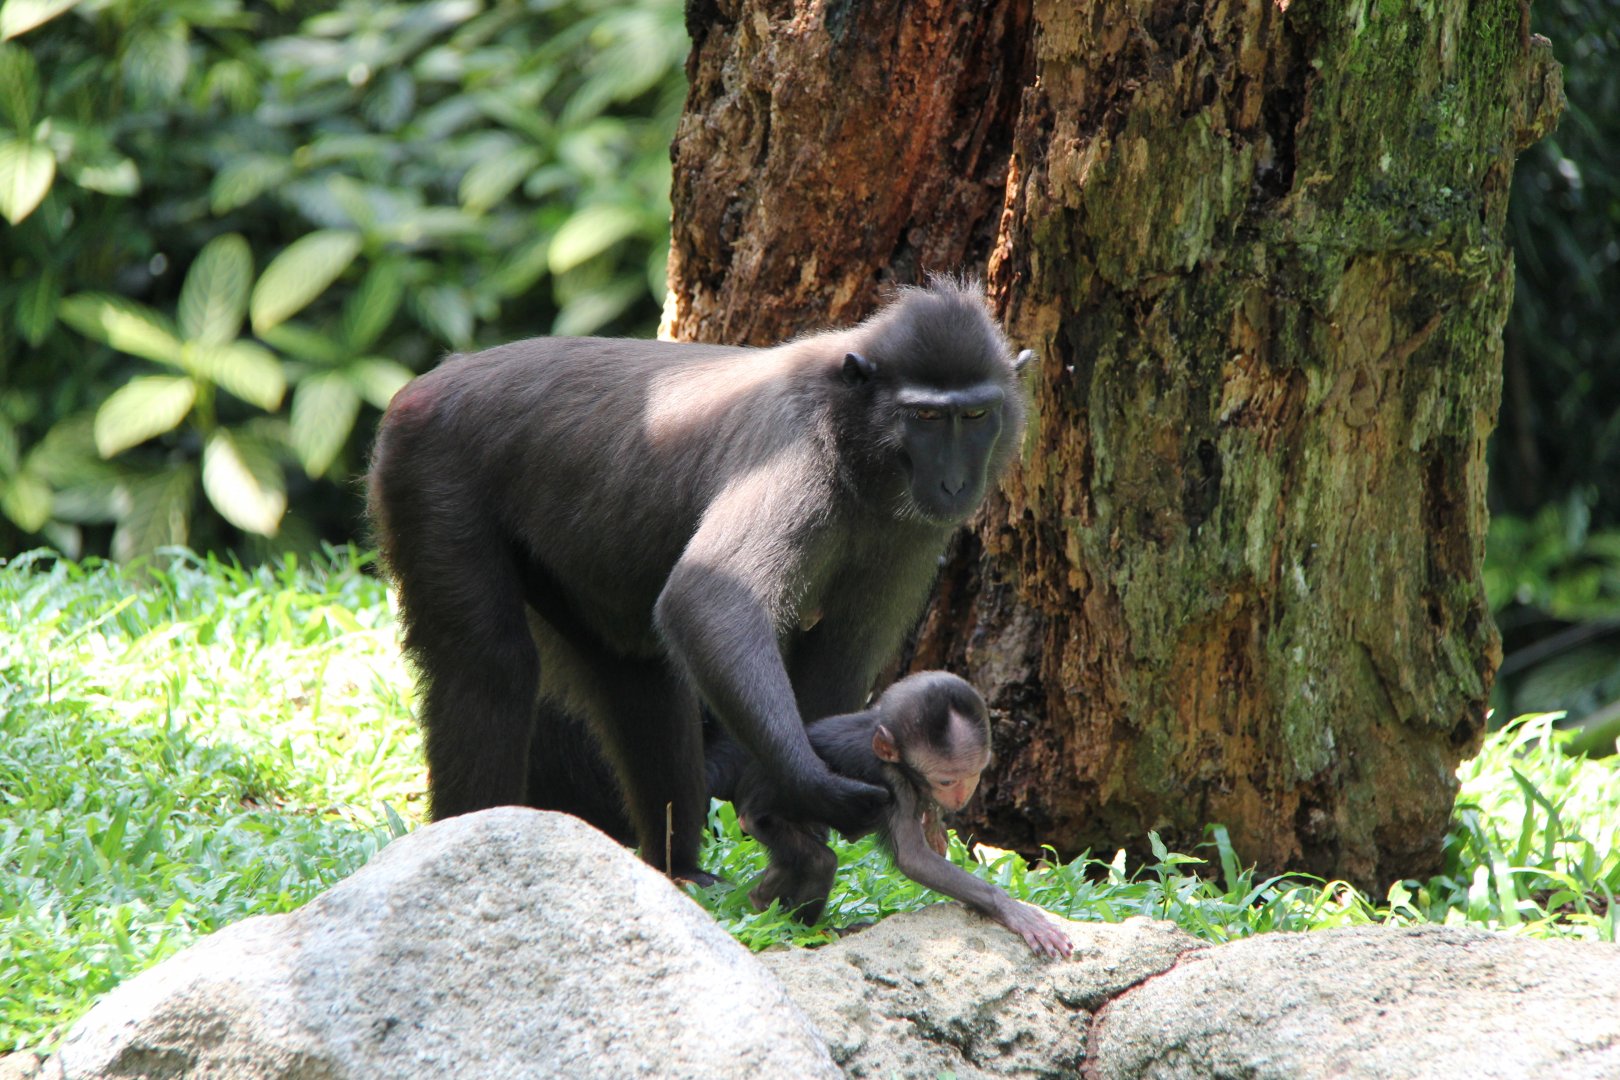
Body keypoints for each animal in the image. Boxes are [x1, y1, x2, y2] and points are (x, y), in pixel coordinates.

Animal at [367, 278, 1030, 882]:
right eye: (926, 417)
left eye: (974, 416)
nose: (953, 484)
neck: (852, 434)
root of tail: (433, 381)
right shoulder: (794, 452)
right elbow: (706, 600)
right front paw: (814, 786)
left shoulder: (911, 532)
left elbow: (840, 655)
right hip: (430, 472)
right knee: (492, 666)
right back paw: (472, 832)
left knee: (636, 676)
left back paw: (678, 866)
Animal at [708, 671, 1073, 958]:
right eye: (947, 780)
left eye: (973, 775)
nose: (959, 795)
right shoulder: (894, 784)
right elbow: (913, 859)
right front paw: (1010, 908)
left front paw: (935, 824)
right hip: (761, 816)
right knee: (818, 860)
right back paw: (800, 925)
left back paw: (761, 898)